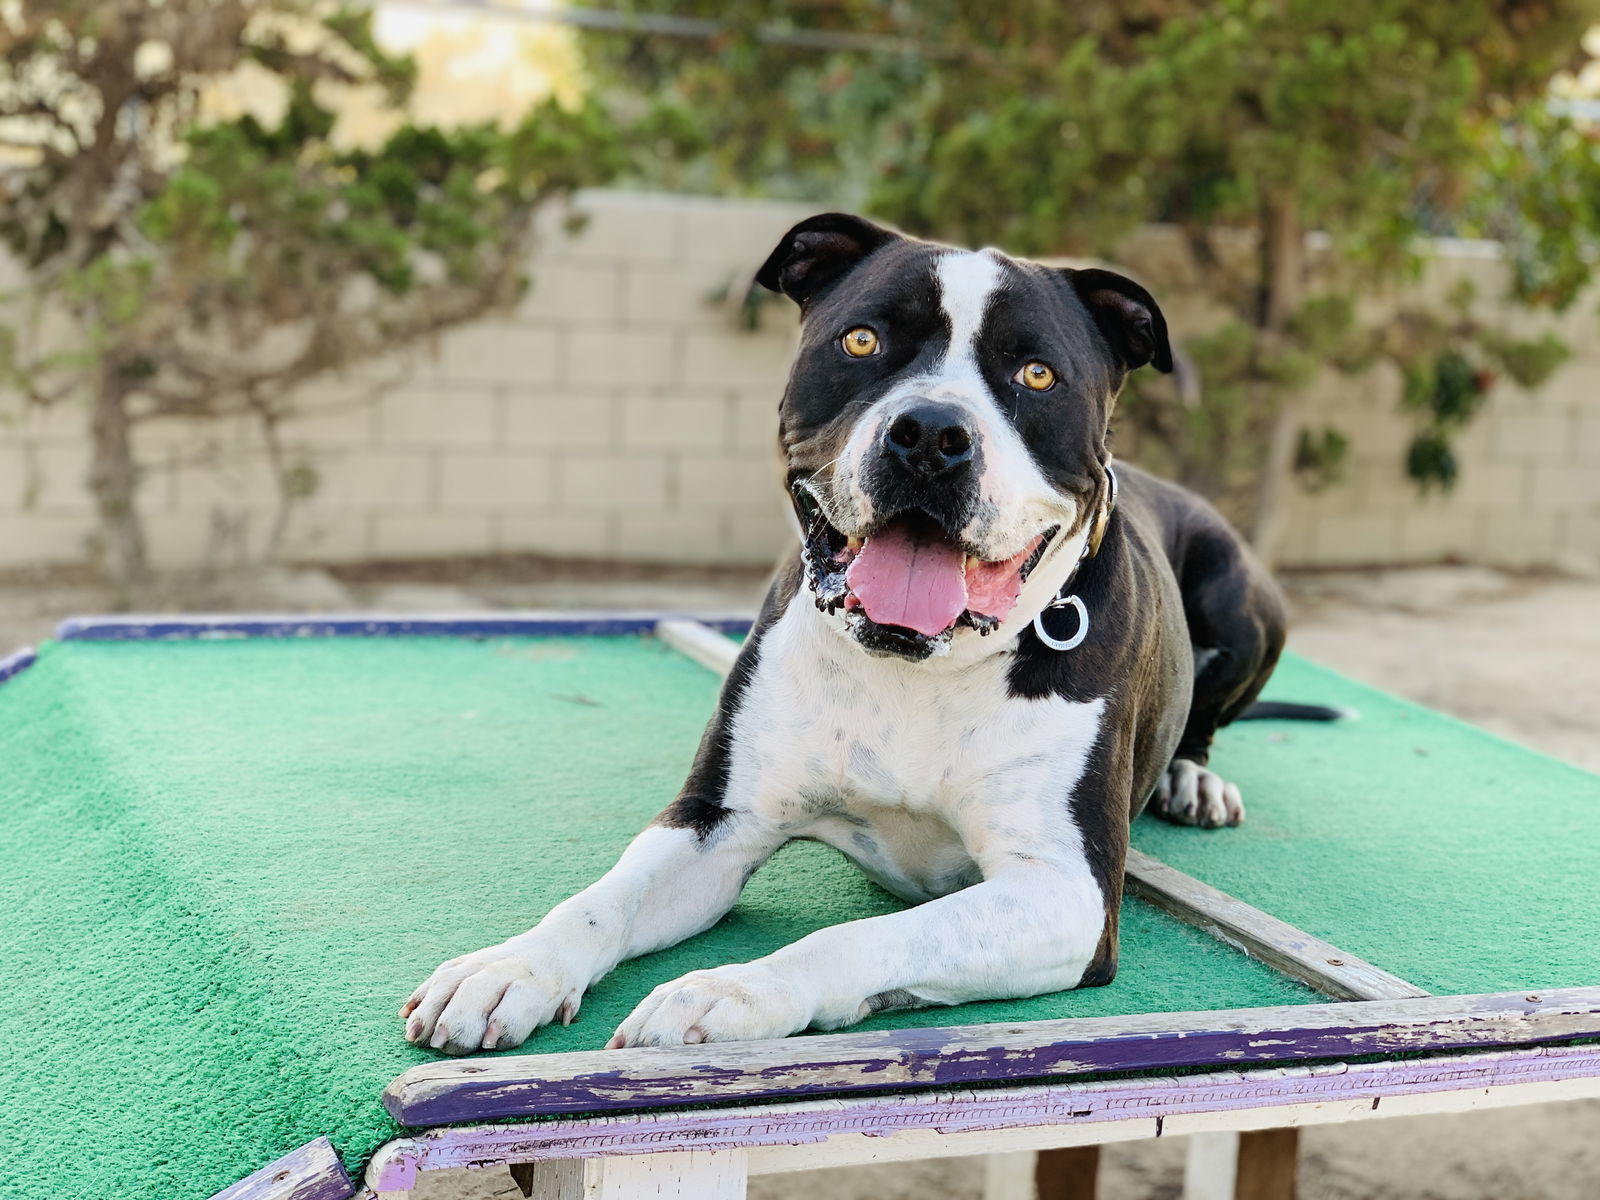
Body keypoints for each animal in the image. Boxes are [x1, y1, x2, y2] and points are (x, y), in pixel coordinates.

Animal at [400, 216, 1286, 1049]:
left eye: (1037, 374)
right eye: (863, 340)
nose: (930, 434)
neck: (923, 665)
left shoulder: (1064, 890)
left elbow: (860, 937)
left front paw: (732, 991)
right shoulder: (715, 821)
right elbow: (599, 900)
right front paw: (513, 967)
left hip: (1247, 600)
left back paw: (1194, 779)